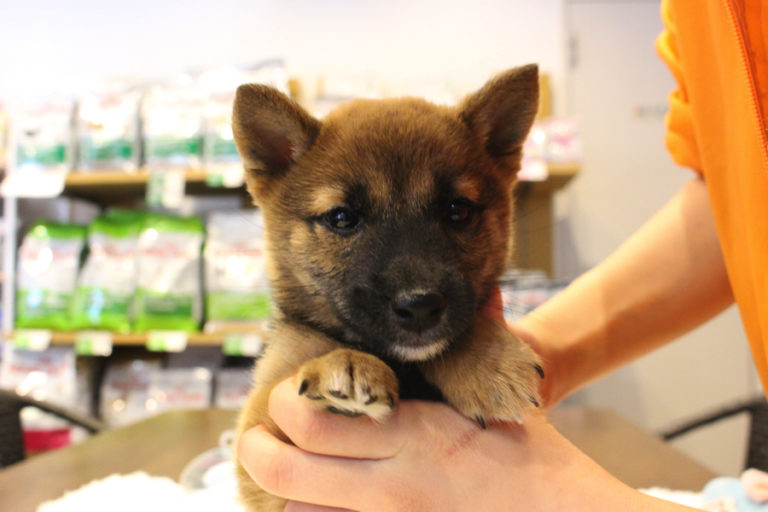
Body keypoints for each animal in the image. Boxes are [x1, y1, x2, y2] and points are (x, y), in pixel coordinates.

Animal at [231, 65, 544, 512]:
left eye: (458, 210)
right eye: (342, 218)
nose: (420, 306)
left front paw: (488, 362)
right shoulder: (258, 442)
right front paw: (344, 366)